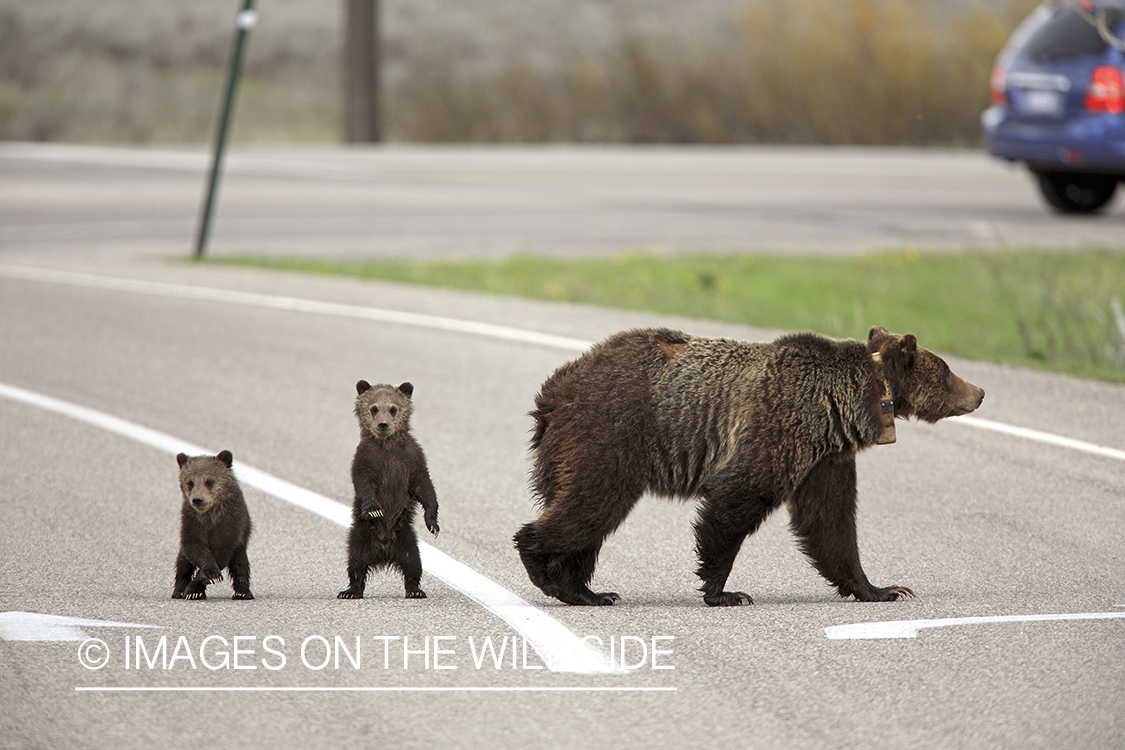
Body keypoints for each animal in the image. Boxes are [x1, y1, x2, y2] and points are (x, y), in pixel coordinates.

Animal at [172, 450, 254, 600]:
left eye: (209, 481)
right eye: (190, 482)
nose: (197, 499)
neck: (209, 516)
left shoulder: (230, 521)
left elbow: (222, 550)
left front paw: (195, 588)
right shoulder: (191, 520)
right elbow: (194, 547)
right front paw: (195, 588)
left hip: (242, 541)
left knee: (240, 564)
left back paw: (242, 592)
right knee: (182, 563)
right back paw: (178, 590)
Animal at [338, 381, 440, 600]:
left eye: (393, 408)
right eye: (374, 408)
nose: (383, 424)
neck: (387, 445)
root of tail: (384, 552)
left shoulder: (412, 458)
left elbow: (424, 486)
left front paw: (433, 522)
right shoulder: (365, 458)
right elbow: (364, 483)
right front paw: (375, 509)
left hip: (407, 538)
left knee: (413, 563)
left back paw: (415, 590)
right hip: (361, 534)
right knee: (356, 562)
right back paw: (350, 591)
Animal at [514, 326, 984, 607]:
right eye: (947, 370)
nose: (979, 392)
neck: (846, 405)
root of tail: (556, 388)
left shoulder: (825, 457)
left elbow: (831, 522)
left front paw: (883, 588)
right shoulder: (780, 424)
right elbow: (739, 498)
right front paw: (724, 591)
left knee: (585, 516)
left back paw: (584, 589)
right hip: (611, 433)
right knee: (593, 503)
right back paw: (545, 566)